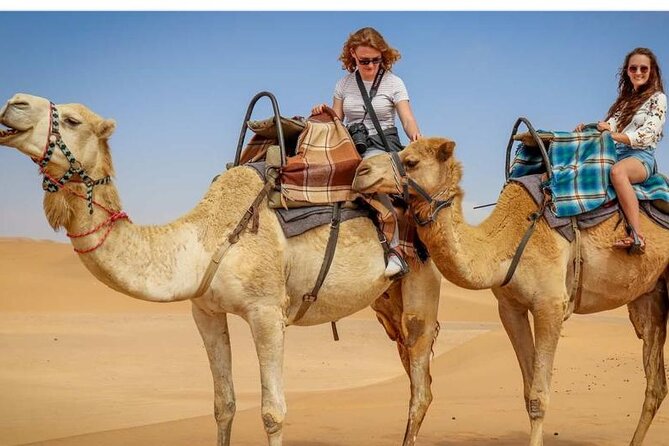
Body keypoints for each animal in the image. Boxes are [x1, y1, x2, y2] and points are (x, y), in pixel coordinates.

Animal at [0, 93, 443, 446]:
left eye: (73, 120)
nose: (13, 103)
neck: (205, 239)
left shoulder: (267, 311)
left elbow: (272, 412)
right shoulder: (206, 312)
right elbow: (223, 404)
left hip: (422, 282)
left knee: (420, 385)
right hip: (386, 300)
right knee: (413, 374)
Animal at [352, 137, 669, 446]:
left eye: (411, 161)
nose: (360, 172)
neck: (507, 241)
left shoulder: (551, 304)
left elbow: (540, 397)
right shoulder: (510, 308)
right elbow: (529, 392)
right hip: (650, 296)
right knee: (656, 383)